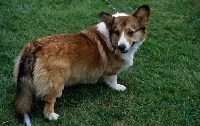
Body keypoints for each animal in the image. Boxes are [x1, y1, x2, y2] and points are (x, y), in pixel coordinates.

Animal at [14, 4, 150, 125]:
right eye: (116, 32)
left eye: (130, 32)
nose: (121, 47)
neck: (111, 39)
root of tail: (34, 47)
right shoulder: (112, 70)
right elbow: (113, 80)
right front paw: (118, 87)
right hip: (56, 79)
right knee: (48, 100)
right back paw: (51, 115)